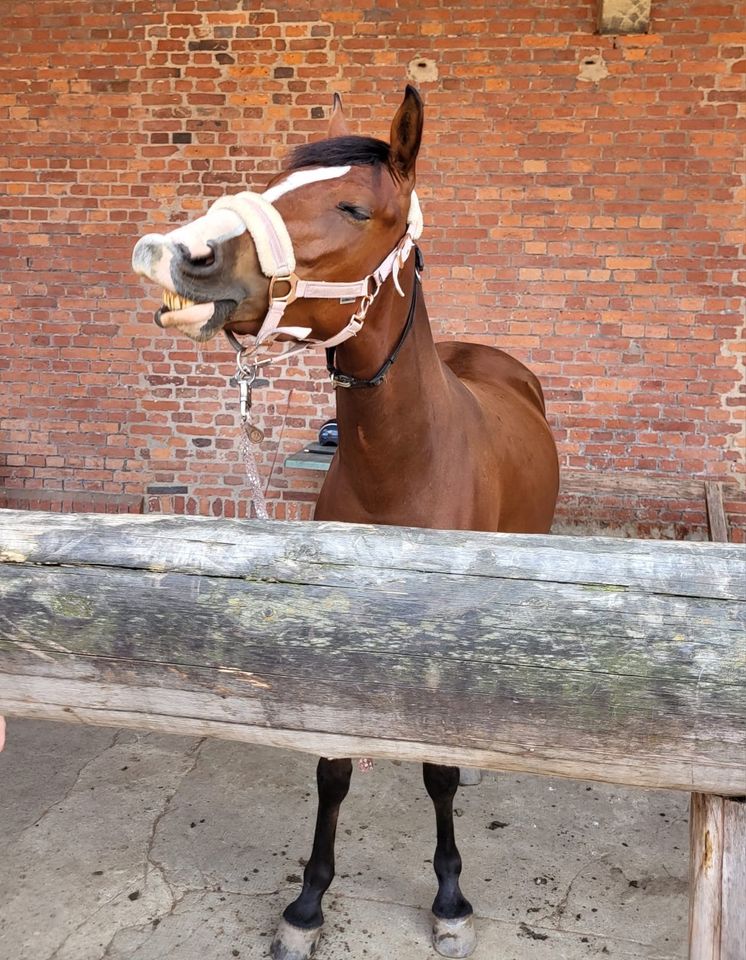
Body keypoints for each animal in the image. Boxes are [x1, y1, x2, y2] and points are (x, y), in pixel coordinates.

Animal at [134, 84, 556, 960]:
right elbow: (330, 772)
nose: (180, 253)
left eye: (356, 207)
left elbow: (437, 772)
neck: (404, 463)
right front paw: (308, 902)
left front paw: (450, 899)